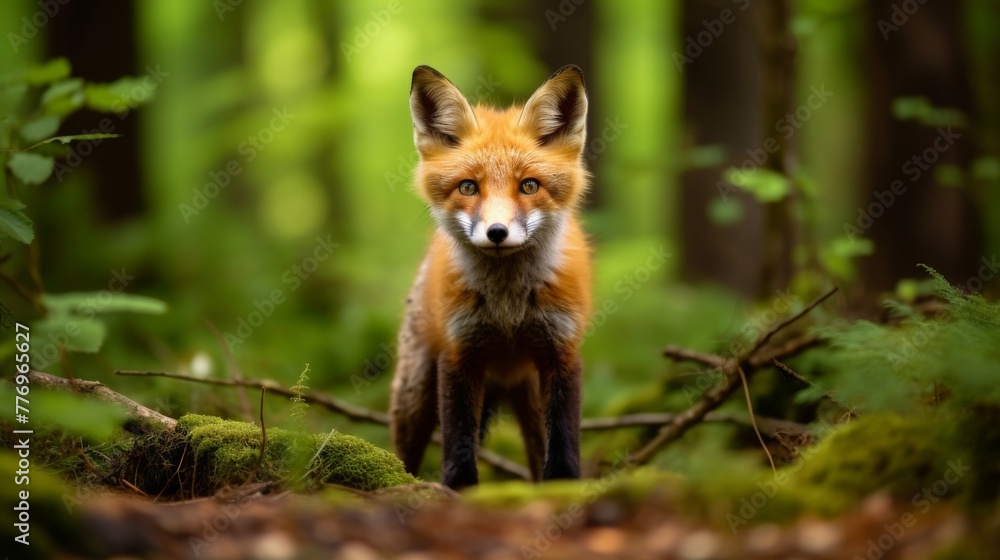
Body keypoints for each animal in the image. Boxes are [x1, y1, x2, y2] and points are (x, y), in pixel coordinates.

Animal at [389, 65, 592, 489]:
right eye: (468, 187)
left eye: (529, 185)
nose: (497, 232)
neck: (507, 307)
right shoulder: (459, 351)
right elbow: (458, 438)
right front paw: (459, 488)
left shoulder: (561, 350)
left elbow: (564, 437)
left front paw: (564, 484)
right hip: (414, 392)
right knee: (405, 452)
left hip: (531, 396)